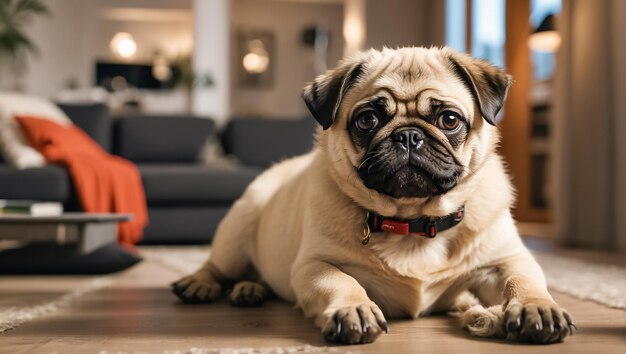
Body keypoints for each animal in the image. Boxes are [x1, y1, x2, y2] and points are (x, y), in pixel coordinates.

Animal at [171, 45, 572, 344]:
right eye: (367, 120)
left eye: (449, 120)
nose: (409, 135)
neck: (412, 223)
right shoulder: (314, 265)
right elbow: (341, 281)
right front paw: (354, 308)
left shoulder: (506, 260)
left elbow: (523, 280)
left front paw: (536, 307)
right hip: (239, 225)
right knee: (218, 265)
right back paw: (200, 284)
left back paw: (249, 289)